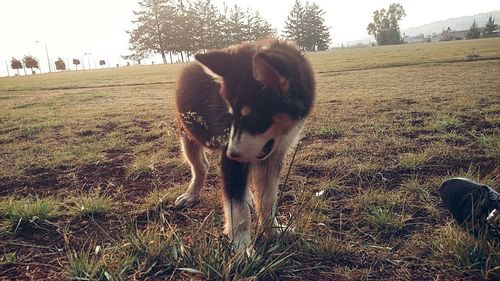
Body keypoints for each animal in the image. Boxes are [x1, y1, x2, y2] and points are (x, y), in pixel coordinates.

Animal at [174, 38, 314, 249]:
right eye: (231, 115)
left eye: (255, 119)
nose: (231, 153)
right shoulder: (232, 158)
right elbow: (238, 210)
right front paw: (241, 247)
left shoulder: (273, 156)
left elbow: (267, 200)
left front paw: (273, 231)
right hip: (188, 135)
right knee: (200, 167)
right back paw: (191, 194)